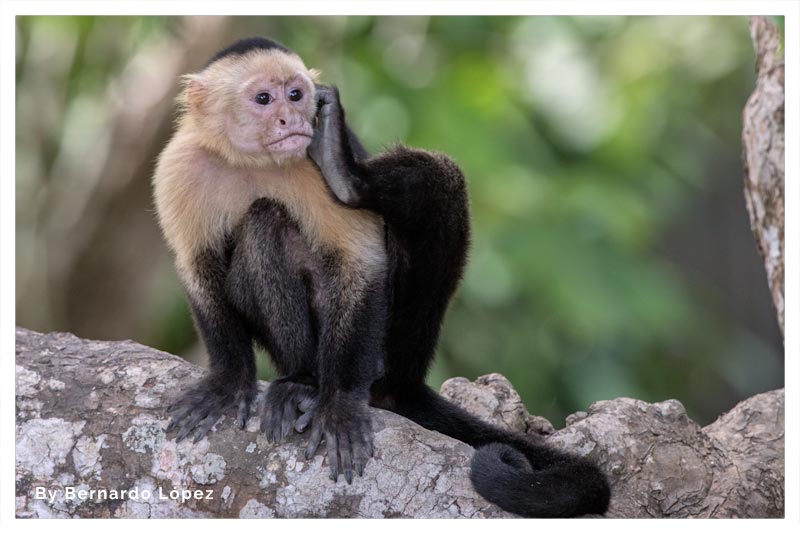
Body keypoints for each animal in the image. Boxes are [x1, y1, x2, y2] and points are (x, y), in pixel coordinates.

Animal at [152, 36, 612, 520]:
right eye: (263, 98)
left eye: (295, 95)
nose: (289, 118)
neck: (249, 160)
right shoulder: (178, 168)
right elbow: (196, 268)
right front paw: (228, 380)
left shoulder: (306, 165)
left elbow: (362, 264)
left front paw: (339, 406)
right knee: (263, 224)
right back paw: (302, 379)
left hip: (397, 344)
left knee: (431, 185)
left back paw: (347, 178)